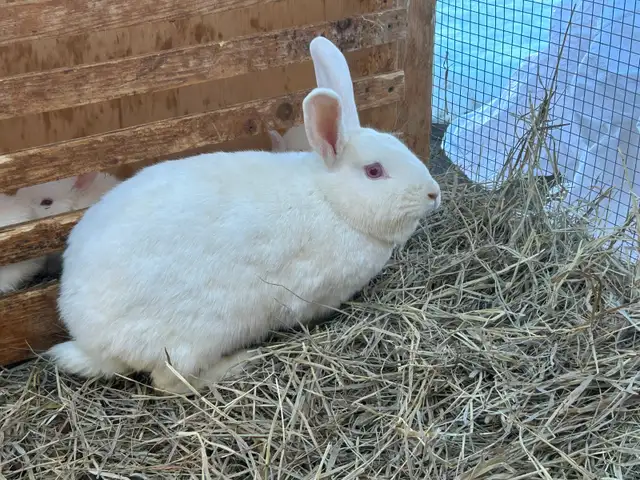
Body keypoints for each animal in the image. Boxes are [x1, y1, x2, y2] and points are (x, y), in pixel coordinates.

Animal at [46, 35, 442, 394]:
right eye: (374, 171)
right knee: (170, 383)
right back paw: (238, 363)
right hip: (196, 337)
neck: (333, 202)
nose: (434, 193)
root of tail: (90, 339)